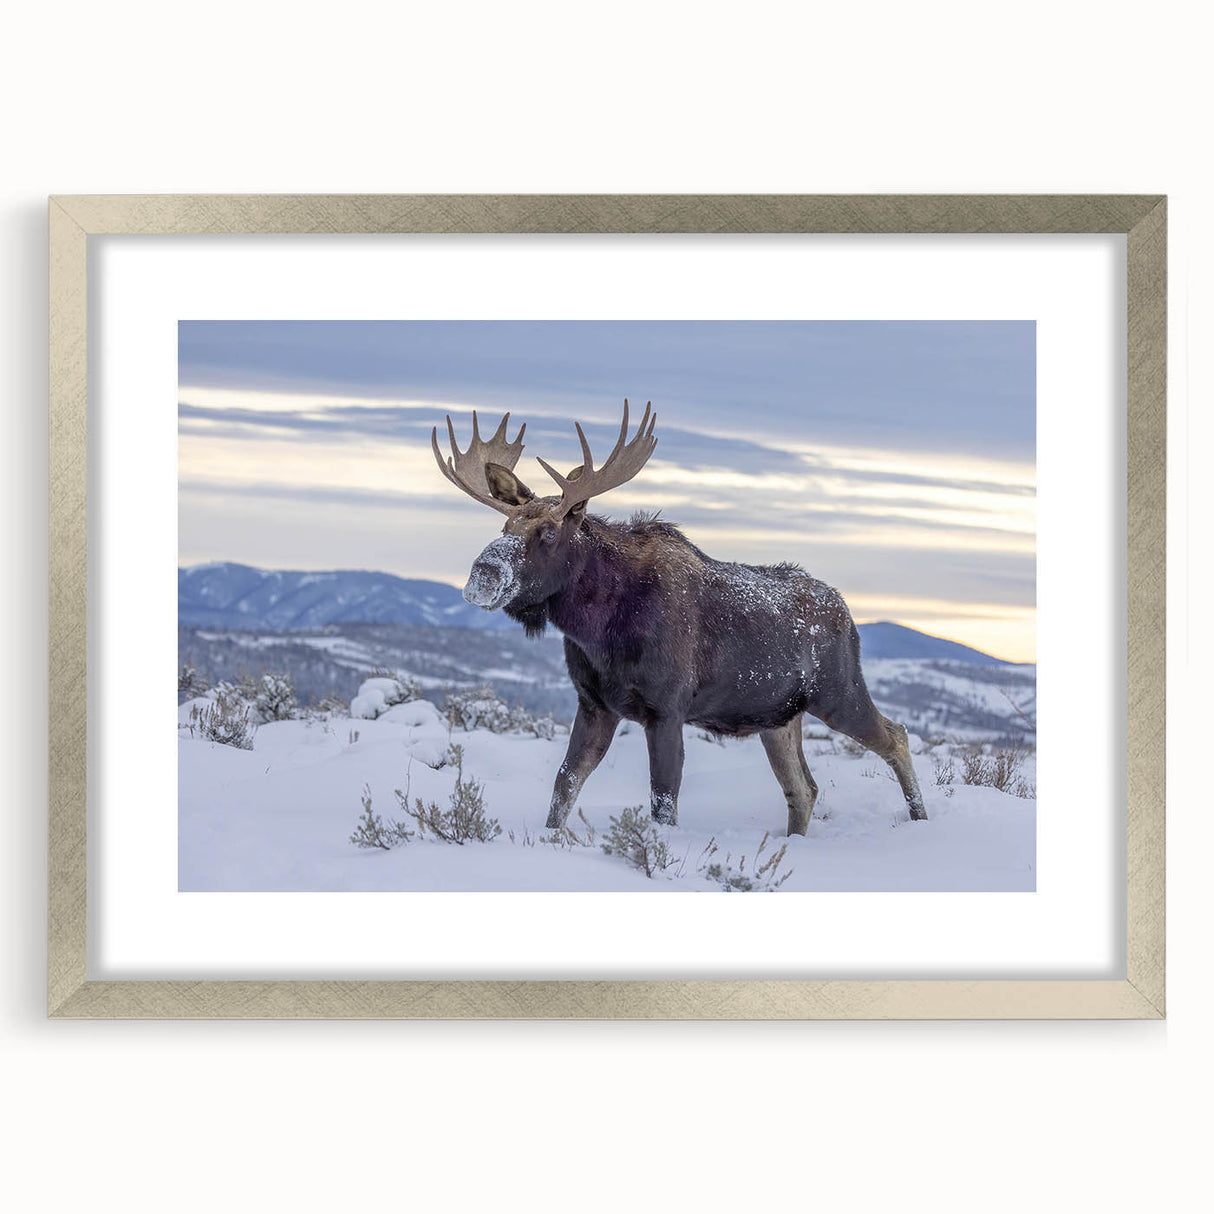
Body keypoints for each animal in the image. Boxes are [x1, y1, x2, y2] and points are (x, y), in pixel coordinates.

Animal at [431, 401, 927, 836]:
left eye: (549, 532)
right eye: (505, 527)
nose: (482, 574)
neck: (597, 627)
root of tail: (848, 615)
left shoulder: (666, 710)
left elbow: (663, 802)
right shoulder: (594, 704)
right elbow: (564, 785)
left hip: (839, 692)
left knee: (897, 736)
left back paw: (920, 822)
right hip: (779, 718)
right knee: (804, 789)